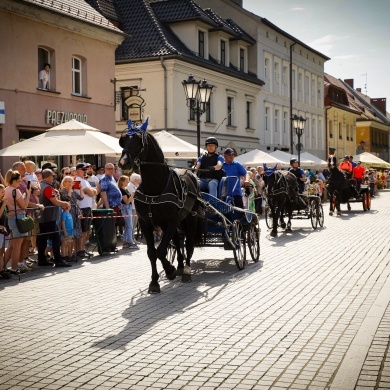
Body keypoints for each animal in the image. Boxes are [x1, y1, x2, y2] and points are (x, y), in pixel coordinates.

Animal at [118, 122, 204, 292]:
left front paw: (169, 270)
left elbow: (161, 250)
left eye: (138, 140)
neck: (154, 187)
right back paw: (179, 265)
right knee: (177, 241)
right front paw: (154, 281)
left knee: (189, 244)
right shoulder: (145, 223)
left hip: (190, 218)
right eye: (124, 140)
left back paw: (186, 270)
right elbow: (152, 252)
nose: (124, 163)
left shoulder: (171, 221)